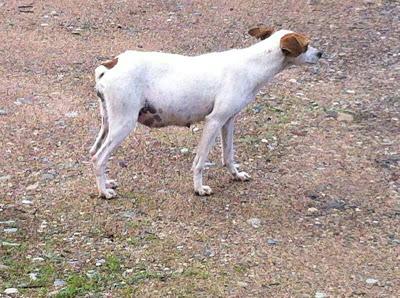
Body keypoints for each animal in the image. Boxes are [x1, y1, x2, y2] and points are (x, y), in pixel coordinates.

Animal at [90, 25, 322, 198]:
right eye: (306, 45)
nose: (321, 53)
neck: (252, 65)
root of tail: (109, 65)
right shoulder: (214, 121)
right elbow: (200, 162)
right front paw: (199, 188)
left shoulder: (228, 121)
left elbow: (228, 154)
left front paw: (236, 175)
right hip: (124, 125)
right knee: (99, 159)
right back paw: (104, 192)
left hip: (108, 124)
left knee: (96, 154)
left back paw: (107, 182)